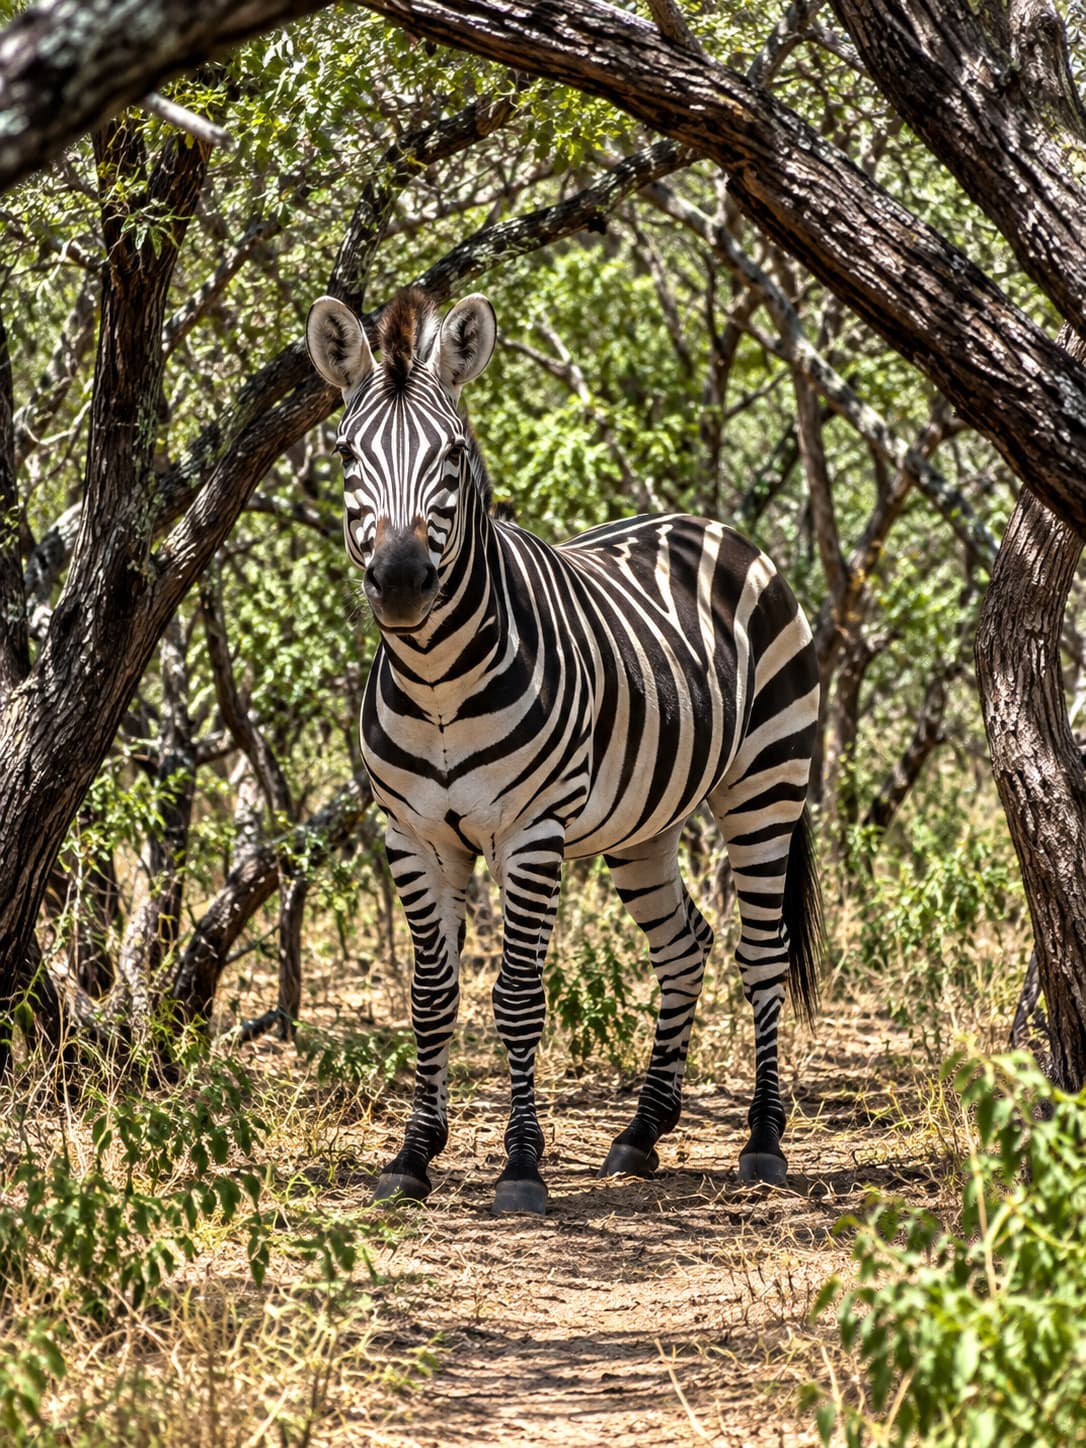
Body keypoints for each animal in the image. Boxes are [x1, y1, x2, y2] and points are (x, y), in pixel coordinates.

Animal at [306, 286, 823, 1214]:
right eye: (345, 453)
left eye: (454, 453)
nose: (400, 583)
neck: (436, 681)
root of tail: (710, 526)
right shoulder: (413, 835)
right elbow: (431, 996)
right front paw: (412, 1156)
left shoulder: (531, 832)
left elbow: (517, 995)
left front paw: (520, 1166)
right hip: (645, 822)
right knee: (684, 944)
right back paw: (641, 1133)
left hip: (767, 782)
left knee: (760, 954)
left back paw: (763, 1142)